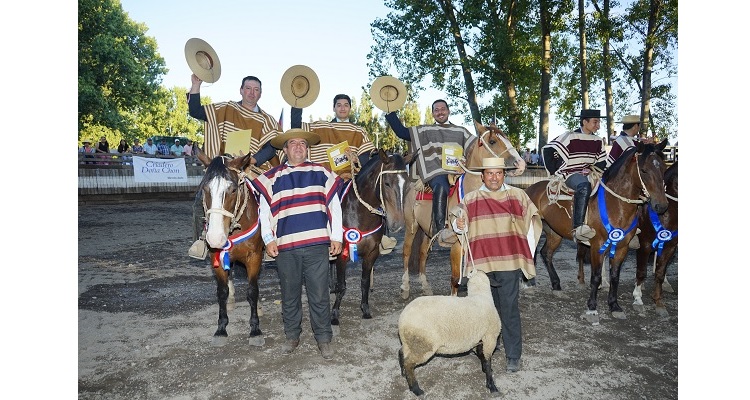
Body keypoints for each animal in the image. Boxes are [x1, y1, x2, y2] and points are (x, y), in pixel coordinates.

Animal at [195, 150, 266, 346]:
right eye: (205, 188)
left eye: (233, 189)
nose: (215, 237)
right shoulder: (217, 257)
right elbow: (222, 291)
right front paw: (221, 328)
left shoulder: (254, 257)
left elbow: (252, 290)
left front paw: (255, 329)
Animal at [396, 268, 502, 396]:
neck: (480, 295)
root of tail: (402, 320)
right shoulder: (490, 338)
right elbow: (487, 360)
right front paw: (492, 386)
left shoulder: (481, 338)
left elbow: (482, 356)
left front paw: (485, 371)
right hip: (423, 345)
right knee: (409, 363)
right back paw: (416, 389)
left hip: (411, 343)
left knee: (401, 352)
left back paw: (403, 373)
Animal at [400, 123, 528, 298]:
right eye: (493, 141)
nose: (520, 164)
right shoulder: (457, 245)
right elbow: (455, 278)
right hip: (411, 226)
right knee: (406, 251)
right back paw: (405, 287)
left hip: (427, 230)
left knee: (422, 253)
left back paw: (425, 286)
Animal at [524, 141, 672, 324]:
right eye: (644, 170)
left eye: (663, 168)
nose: (661, 206)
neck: (615, 204)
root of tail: (530, 189)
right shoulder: (597, 246)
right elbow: (595, 277)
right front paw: (592, 309)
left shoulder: (622, 247)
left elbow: (615, 276)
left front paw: (614, 306)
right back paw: (528, 284)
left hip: (554, 232)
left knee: (546, 254)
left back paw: (556, 286)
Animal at [636, 159, 680, 316]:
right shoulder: (644, 245)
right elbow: (641, 272)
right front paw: (637, 299)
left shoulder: (670, 247)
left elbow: (660, 273)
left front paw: (658, 301)